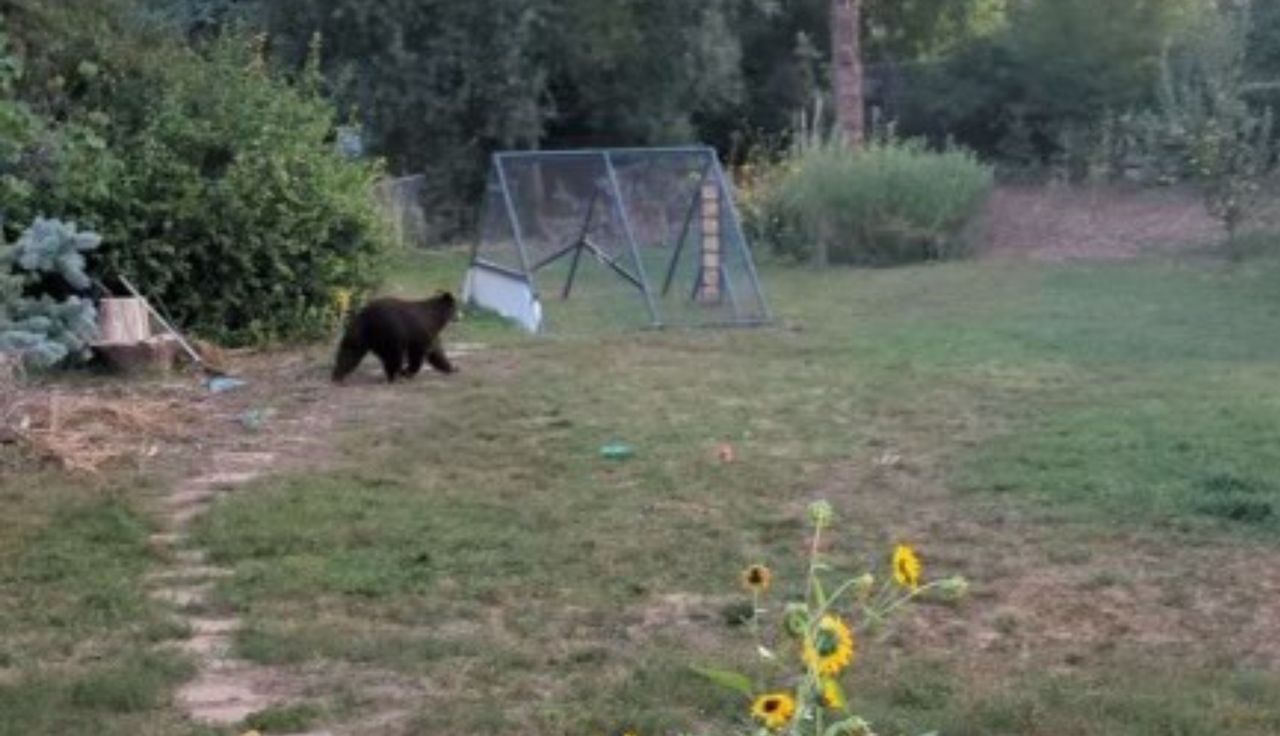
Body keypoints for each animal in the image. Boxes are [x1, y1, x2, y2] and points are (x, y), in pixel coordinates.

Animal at [332, 291, 463, 386]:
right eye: (456, 307)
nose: (460, 316)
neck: (436, 318)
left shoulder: (430, 334)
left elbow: (436, 352)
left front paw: (452, 368)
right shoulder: (418, 333)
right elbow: (416, 354)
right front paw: (405, 372)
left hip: (367, 337)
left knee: (350, 351)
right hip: (385, 334)